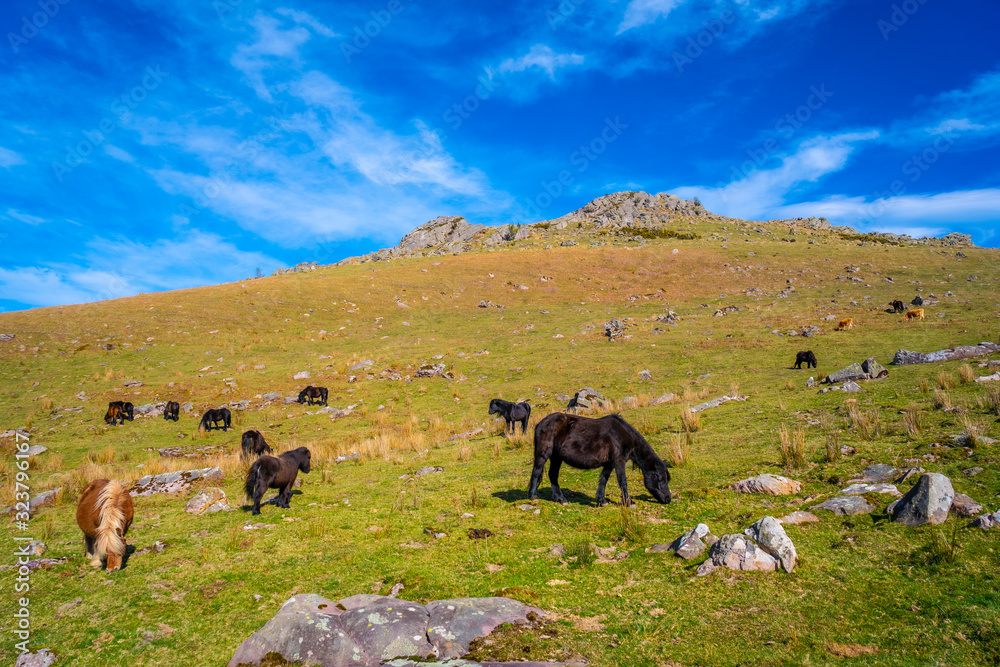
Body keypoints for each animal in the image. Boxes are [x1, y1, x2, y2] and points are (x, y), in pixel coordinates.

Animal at [529, 413, 671, 507]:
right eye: (660, 478)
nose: (668, 499)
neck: (621, 435)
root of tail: (540, 423)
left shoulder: (609, 464)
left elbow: (603, 480)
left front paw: (601, 501)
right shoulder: (619, 461)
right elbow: (622, 481)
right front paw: (629, 502)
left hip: (557, 457)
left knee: (553, 475)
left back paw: (560, 498)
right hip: (543, 454)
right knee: (537, 471)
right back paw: (533, 496)